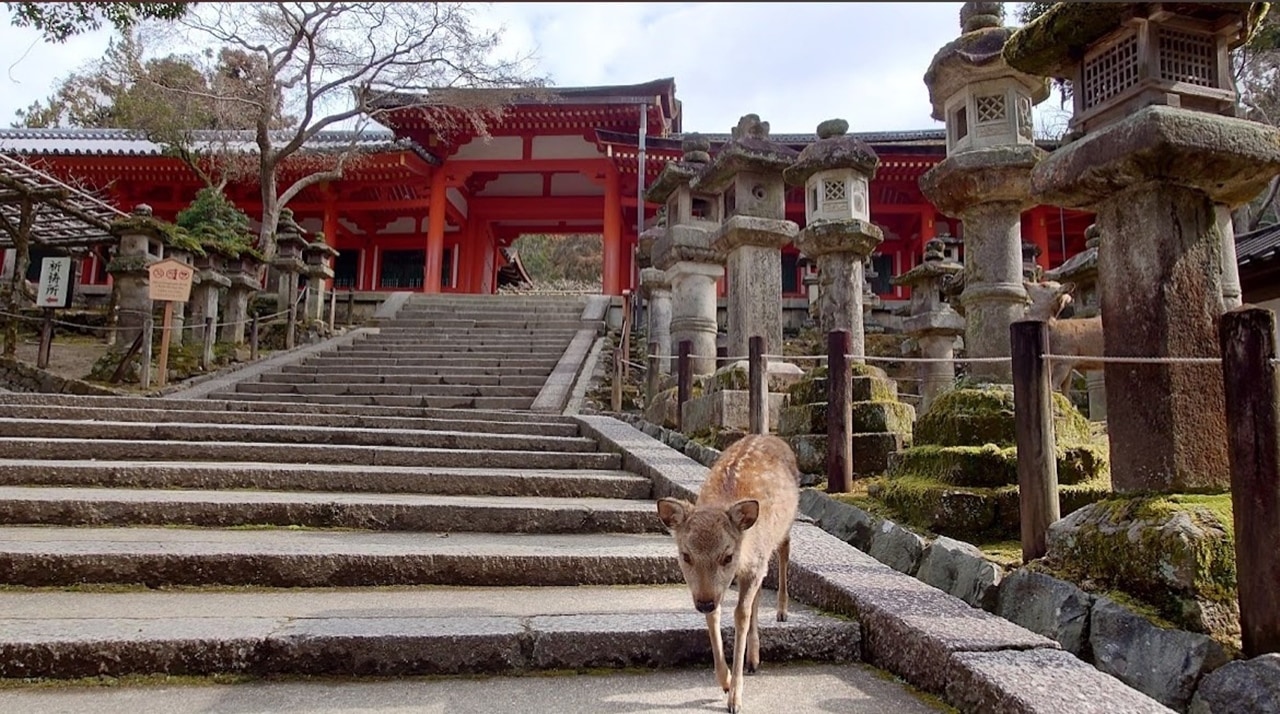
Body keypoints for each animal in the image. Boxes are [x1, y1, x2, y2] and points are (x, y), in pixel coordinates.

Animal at [656, 433, 800, 714]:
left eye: (727, 556)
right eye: (686, 555)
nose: (703, 602)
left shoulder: (754, 564)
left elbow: (740, 615)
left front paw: (735, 698)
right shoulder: (721, 584)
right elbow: (718, 615)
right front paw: (725, 681)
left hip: (787, 525)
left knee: (785, 550)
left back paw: (782, 611)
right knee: (759, 590)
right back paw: (754, 659)